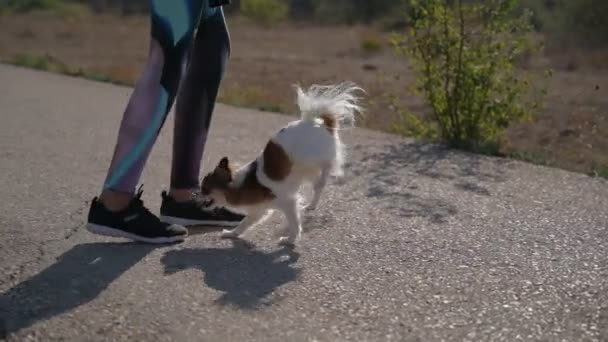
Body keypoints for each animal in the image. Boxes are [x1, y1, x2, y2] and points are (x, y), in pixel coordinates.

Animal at [200, 81, 364, 244]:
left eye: (205, 189)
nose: (197, 195)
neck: (241, 184)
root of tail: (316, 122)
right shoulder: (258, 211)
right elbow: (244, 224)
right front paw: (231, 234)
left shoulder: (288, 203)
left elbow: (294, 223)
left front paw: (290, 240)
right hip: (304, 169)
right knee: (317, 185)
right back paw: (311, 205)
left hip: (310, 157)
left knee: (325, 170)